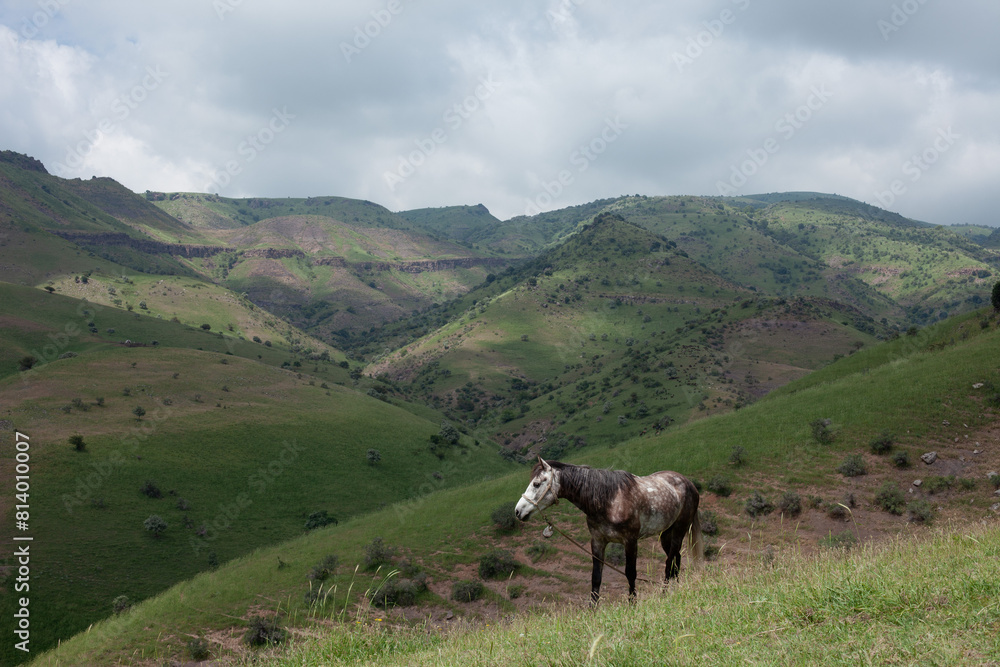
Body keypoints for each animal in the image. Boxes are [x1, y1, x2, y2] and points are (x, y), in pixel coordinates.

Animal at [514, 458, 702, 604]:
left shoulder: (630, 541)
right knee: (676, 559)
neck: (609, 501)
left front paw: (632, 605)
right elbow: (596, 577)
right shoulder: (598, 541)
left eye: (536, 484)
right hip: (665, 534)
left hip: (679, 530)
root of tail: (689, 484)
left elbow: (630, 573)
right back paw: (675, 590)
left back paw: (664, 594)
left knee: (670, 562)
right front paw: (592, 611)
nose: (518, 511)